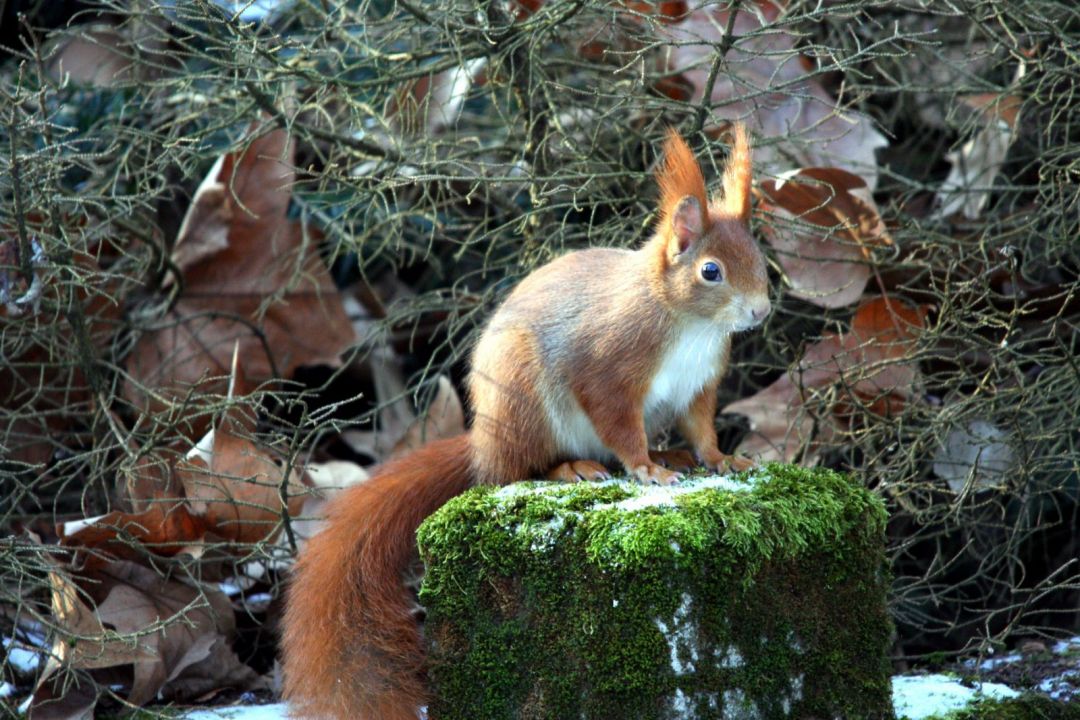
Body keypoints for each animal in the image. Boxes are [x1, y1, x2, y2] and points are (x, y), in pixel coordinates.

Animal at [278, 126, 768, 716]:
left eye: (761, 258)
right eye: (710, 272)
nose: (761, 312)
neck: (688, 323)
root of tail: (482, 443)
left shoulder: (699, 384)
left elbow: (702, 429)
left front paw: (721, 459)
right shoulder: (608, 368)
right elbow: (618, 425)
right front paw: (645, 469)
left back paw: (662, 451)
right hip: (525, 401)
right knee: (512, 473)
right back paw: (573, 468)